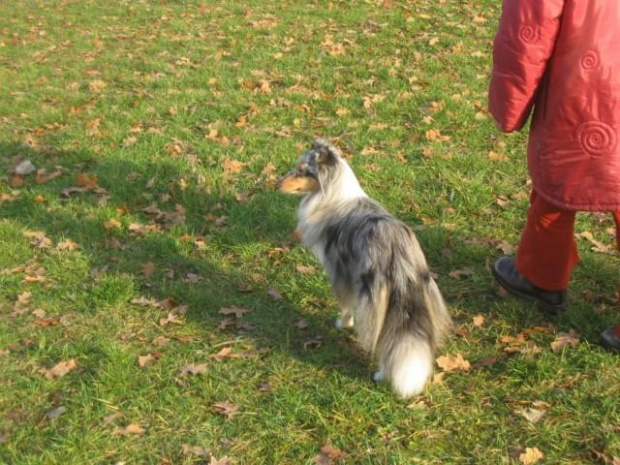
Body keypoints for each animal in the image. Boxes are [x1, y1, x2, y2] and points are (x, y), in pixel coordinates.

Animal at [278, 138, 450, 396]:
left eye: (302, 170)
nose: (277, 183)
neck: (332, 194)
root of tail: (399, 253)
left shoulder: (340, 272)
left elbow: (345, 305)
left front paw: (343, 324)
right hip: (420, 296)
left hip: (374, 298)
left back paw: (382, 373)